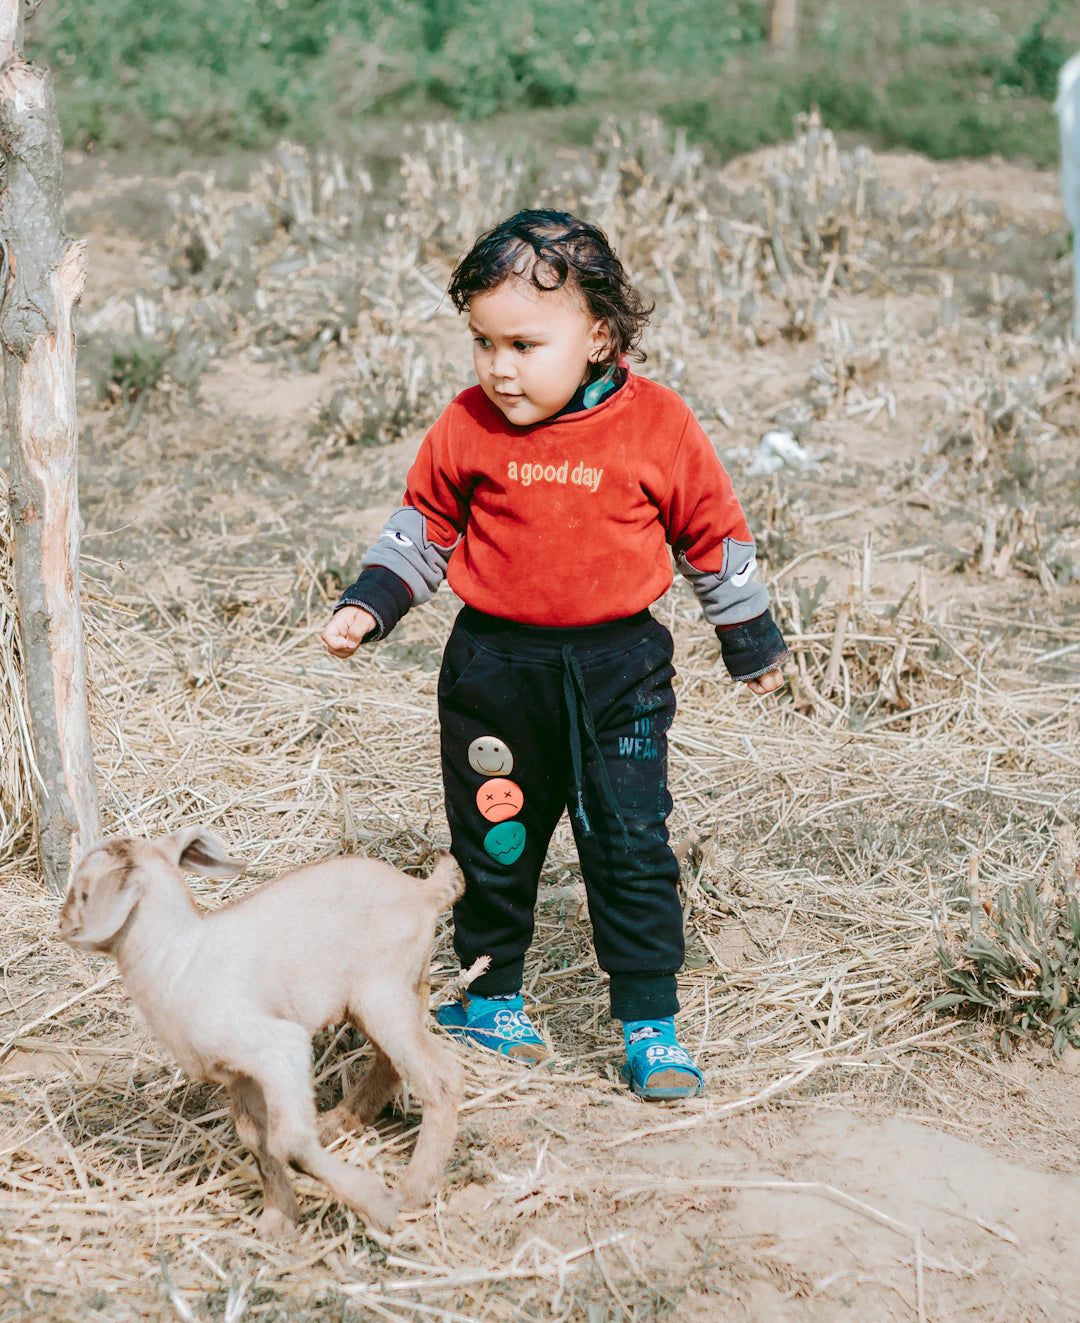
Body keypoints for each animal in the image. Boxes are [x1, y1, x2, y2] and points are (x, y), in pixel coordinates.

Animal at [58, 825, 463, 1238]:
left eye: (85, 891)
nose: (61, 924)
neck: (181, 959)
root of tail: (424, 890)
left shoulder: (278, 1048)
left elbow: (290, 1144)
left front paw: (377, 1204)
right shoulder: (240, 1075)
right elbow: (257, 1140)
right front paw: (278, 1220)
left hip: (382, 992)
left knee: (441, 1077)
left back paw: (413, 1190)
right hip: (384, 996)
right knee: (392, 1064)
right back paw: (337, 1125)